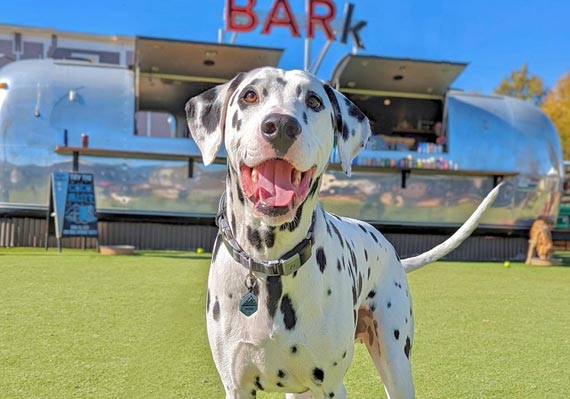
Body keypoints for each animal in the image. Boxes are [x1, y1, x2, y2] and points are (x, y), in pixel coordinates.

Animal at [184, 67, 500, 398]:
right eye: (249, 95)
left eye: (314, 101)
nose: (281, 126)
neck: (271, 262)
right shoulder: (237, 387)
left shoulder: (331, 386)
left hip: (395, 363)